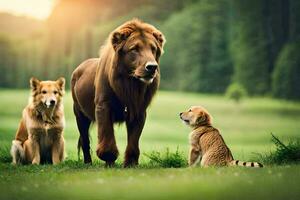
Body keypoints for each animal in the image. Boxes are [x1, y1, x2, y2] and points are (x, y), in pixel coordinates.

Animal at [71, 18, 165, 166]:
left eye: (153, 49)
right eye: (134, 49)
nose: (152, 67)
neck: (130, 83)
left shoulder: (138, 110)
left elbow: (133, 139)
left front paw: (130, 163)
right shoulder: (103, 106)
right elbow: (106, 134)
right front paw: (109, 159)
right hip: (80, 114)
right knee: (85, 140)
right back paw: (88, 163)